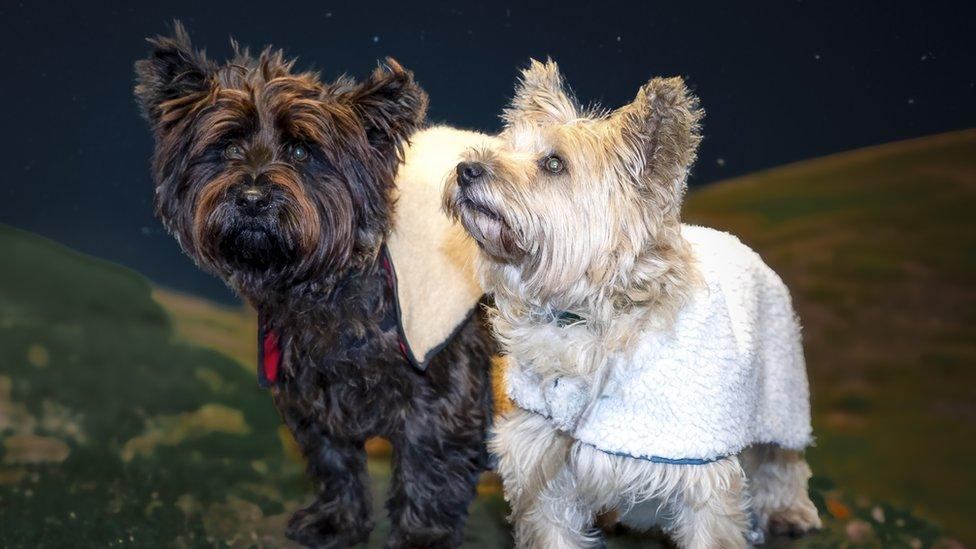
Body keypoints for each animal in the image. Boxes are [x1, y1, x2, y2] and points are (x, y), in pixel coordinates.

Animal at [133, 23, 492, 544]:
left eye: (302, 151)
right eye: (229, 147)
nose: (253, 198)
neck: (340, 281)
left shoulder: (443, 400)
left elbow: (428, 472)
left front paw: (421, 538)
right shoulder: (312, 393)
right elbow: (335, 461)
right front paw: (337, 522)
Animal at [446, 57, 820, 544]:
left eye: (553, 163)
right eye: (507, 148)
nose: (465, 169)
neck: (584, 315)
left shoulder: (701, 475)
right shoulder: (542, 467)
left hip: (781, 391)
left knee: (782, 455)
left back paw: (790, 510)